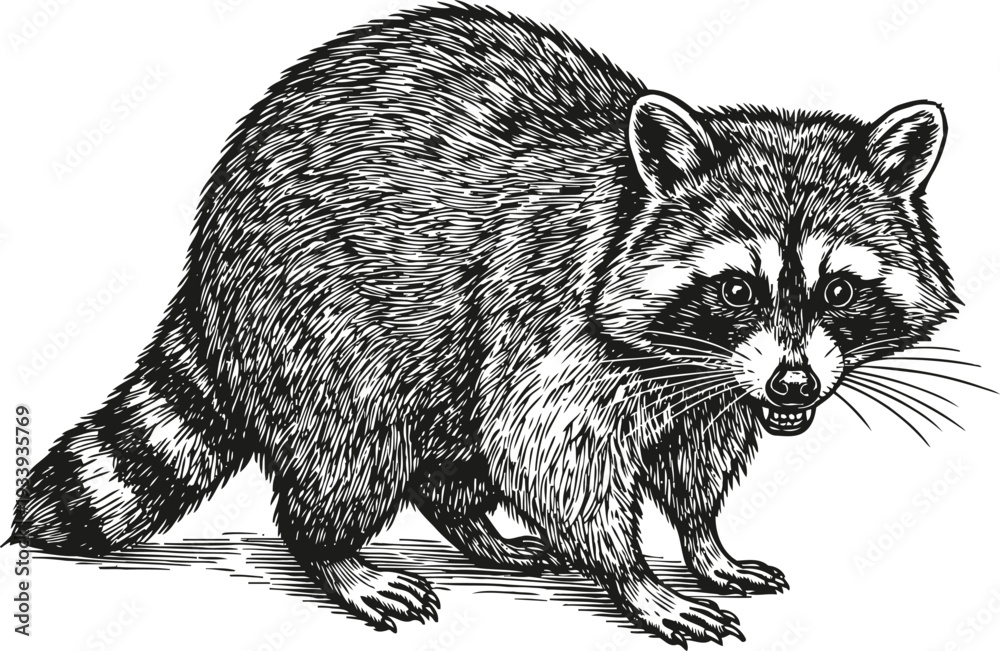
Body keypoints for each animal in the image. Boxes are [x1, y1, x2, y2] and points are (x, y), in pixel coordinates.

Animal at [11, 3, 958, 646]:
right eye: (734, 289)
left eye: (840, 291)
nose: (795, 384)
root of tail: (211, 239)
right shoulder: (552, 322)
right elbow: (549, 451)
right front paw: (636, 576)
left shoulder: (717, 387)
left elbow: (698, 459)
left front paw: (703, 540)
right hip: (319, 313)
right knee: (351, 445)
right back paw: (335, 552)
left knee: (453, 449)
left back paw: (475, 527)